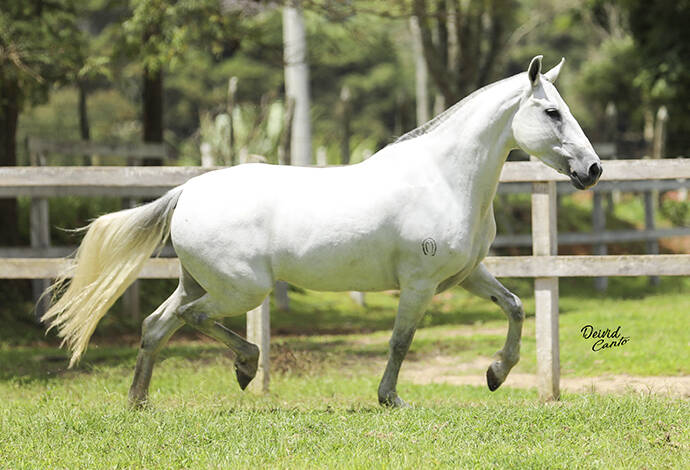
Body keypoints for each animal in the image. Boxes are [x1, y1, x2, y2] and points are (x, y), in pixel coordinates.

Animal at [44, 56, 596, 408]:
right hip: (241, 289)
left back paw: (139, 402)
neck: (443, 178)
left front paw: (495, 375)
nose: (592, 170)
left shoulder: (466, 274)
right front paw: (391, 398)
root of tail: (187, 192)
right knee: (188, 318)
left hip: (198, 281)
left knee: (157, 326)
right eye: (552, 112)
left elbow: (516, 307)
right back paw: (246, 367)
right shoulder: (419, 284)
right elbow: (401, 340)